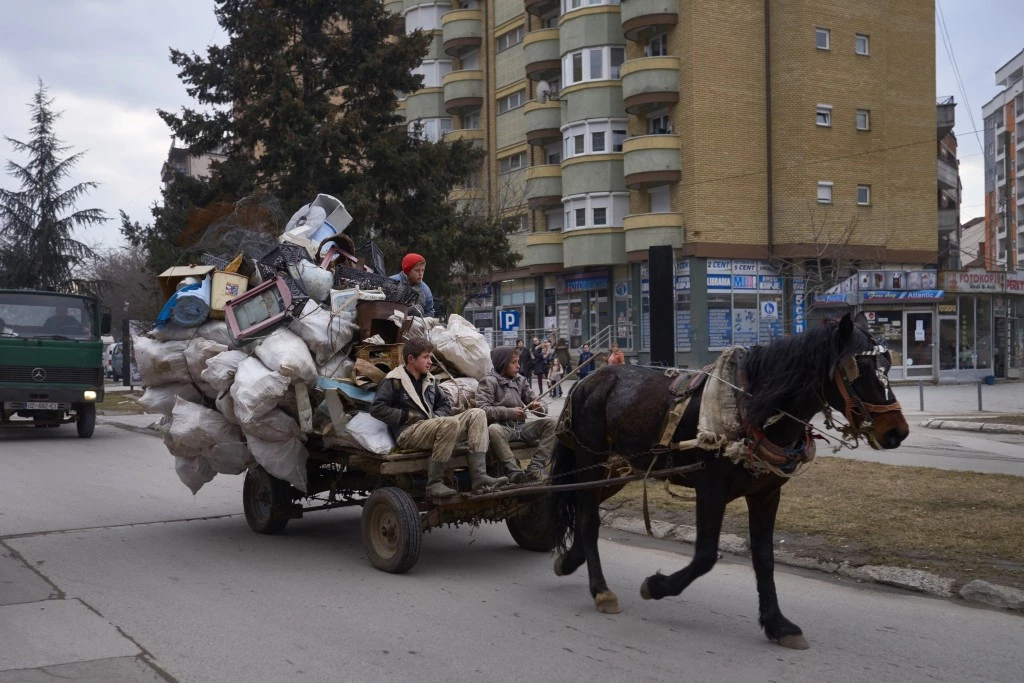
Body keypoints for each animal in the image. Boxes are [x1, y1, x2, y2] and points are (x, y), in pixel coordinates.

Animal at [548, 313, 909, 651]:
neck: (750, 408)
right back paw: (600, 589)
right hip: (590, 462)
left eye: (888, 365)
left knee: (584, 508)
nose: (897, 431)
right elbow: (706, 555)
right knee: (588, 517)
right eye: (860, 369)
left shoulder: (766, 495)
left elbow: (764, 558)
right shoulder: (711, 491)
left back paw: (571, 560)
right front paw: (657, 586)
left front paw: (777, 623)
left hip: (619, 469)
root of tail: (587, 380)